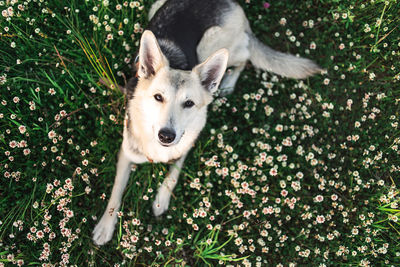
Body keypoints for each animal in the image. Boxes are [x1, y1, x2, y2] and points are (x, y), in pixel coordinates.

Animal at [92, 0, 320, 247]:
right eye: (158, 97)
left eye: (189, 103)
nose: (166, 136)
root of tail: (232, 5)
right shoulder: (127, 153)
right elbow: (116, 192)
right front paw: (105, 226)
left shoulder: (185, 145)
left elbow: (173, 174)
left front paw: (161, 201)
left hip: (214, 44)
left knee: (245, 58)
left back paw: (227, 84)